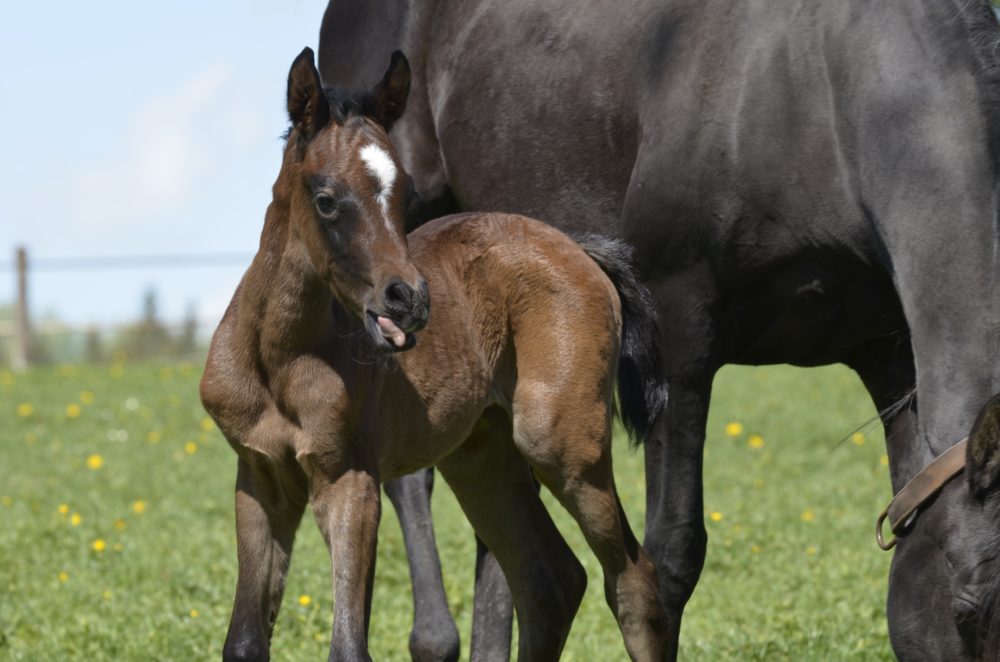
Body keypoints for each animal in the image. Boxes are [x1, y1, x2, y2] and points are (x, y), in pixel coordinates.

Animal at [201, 48, 672, 662]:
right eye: (326, 201)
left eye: (404, 195)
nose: (409, 300)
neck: (279, 357)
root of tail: (579, 247)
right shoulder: (259, 478)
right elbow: (243, 642)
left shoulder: (349, 478)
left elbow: (348, 646)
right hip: (481, 455)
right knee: (550, 578)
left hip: (561, 442)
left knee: (633, 580)